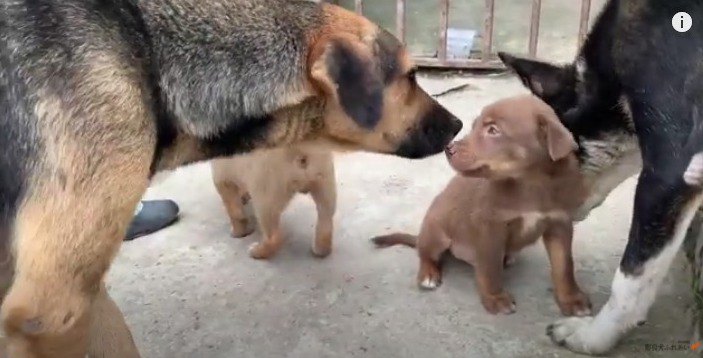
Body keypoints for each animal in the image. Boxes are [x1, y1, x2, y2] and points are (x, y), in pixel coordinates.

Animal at [372, 95, 592, 316]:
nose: (448, 149)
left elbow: (564, 266)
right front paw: (496, 298)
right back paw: (428, 274)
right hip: (436, 232)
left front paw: (572, 299)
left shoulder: (560, 223)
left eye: (493, 130)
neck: (530, 182)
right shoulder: (490, 226)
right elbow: (490, 267)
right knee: (425, 253)